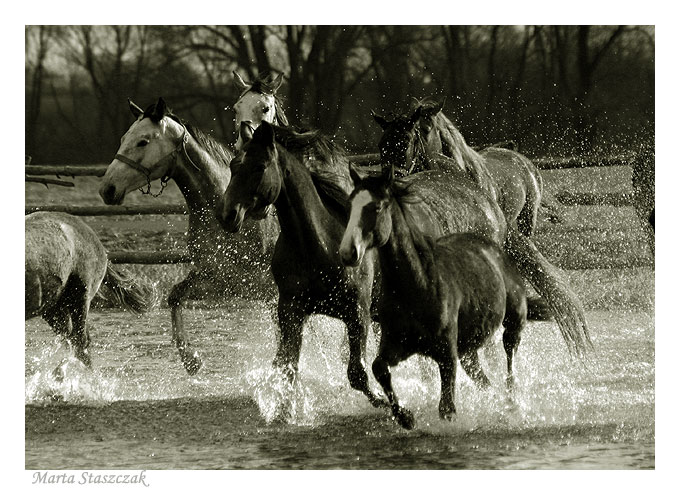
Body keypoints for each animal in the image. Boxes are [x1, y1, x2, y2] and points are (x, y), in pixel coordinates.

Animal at [338, 167, 524, 430]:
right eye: (350, 204)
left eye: (377, 207)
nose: (348, 252)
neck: (418, 284)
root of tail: (493, 245)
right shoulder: (398, 344)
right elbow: (378, 367)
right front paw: (405, 416)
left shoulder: (446, 352)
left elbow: (446, 408)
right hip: (468, 346)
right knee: (482, 376)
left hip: (514, 320)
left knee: (510, 352)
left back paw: (511, 399)